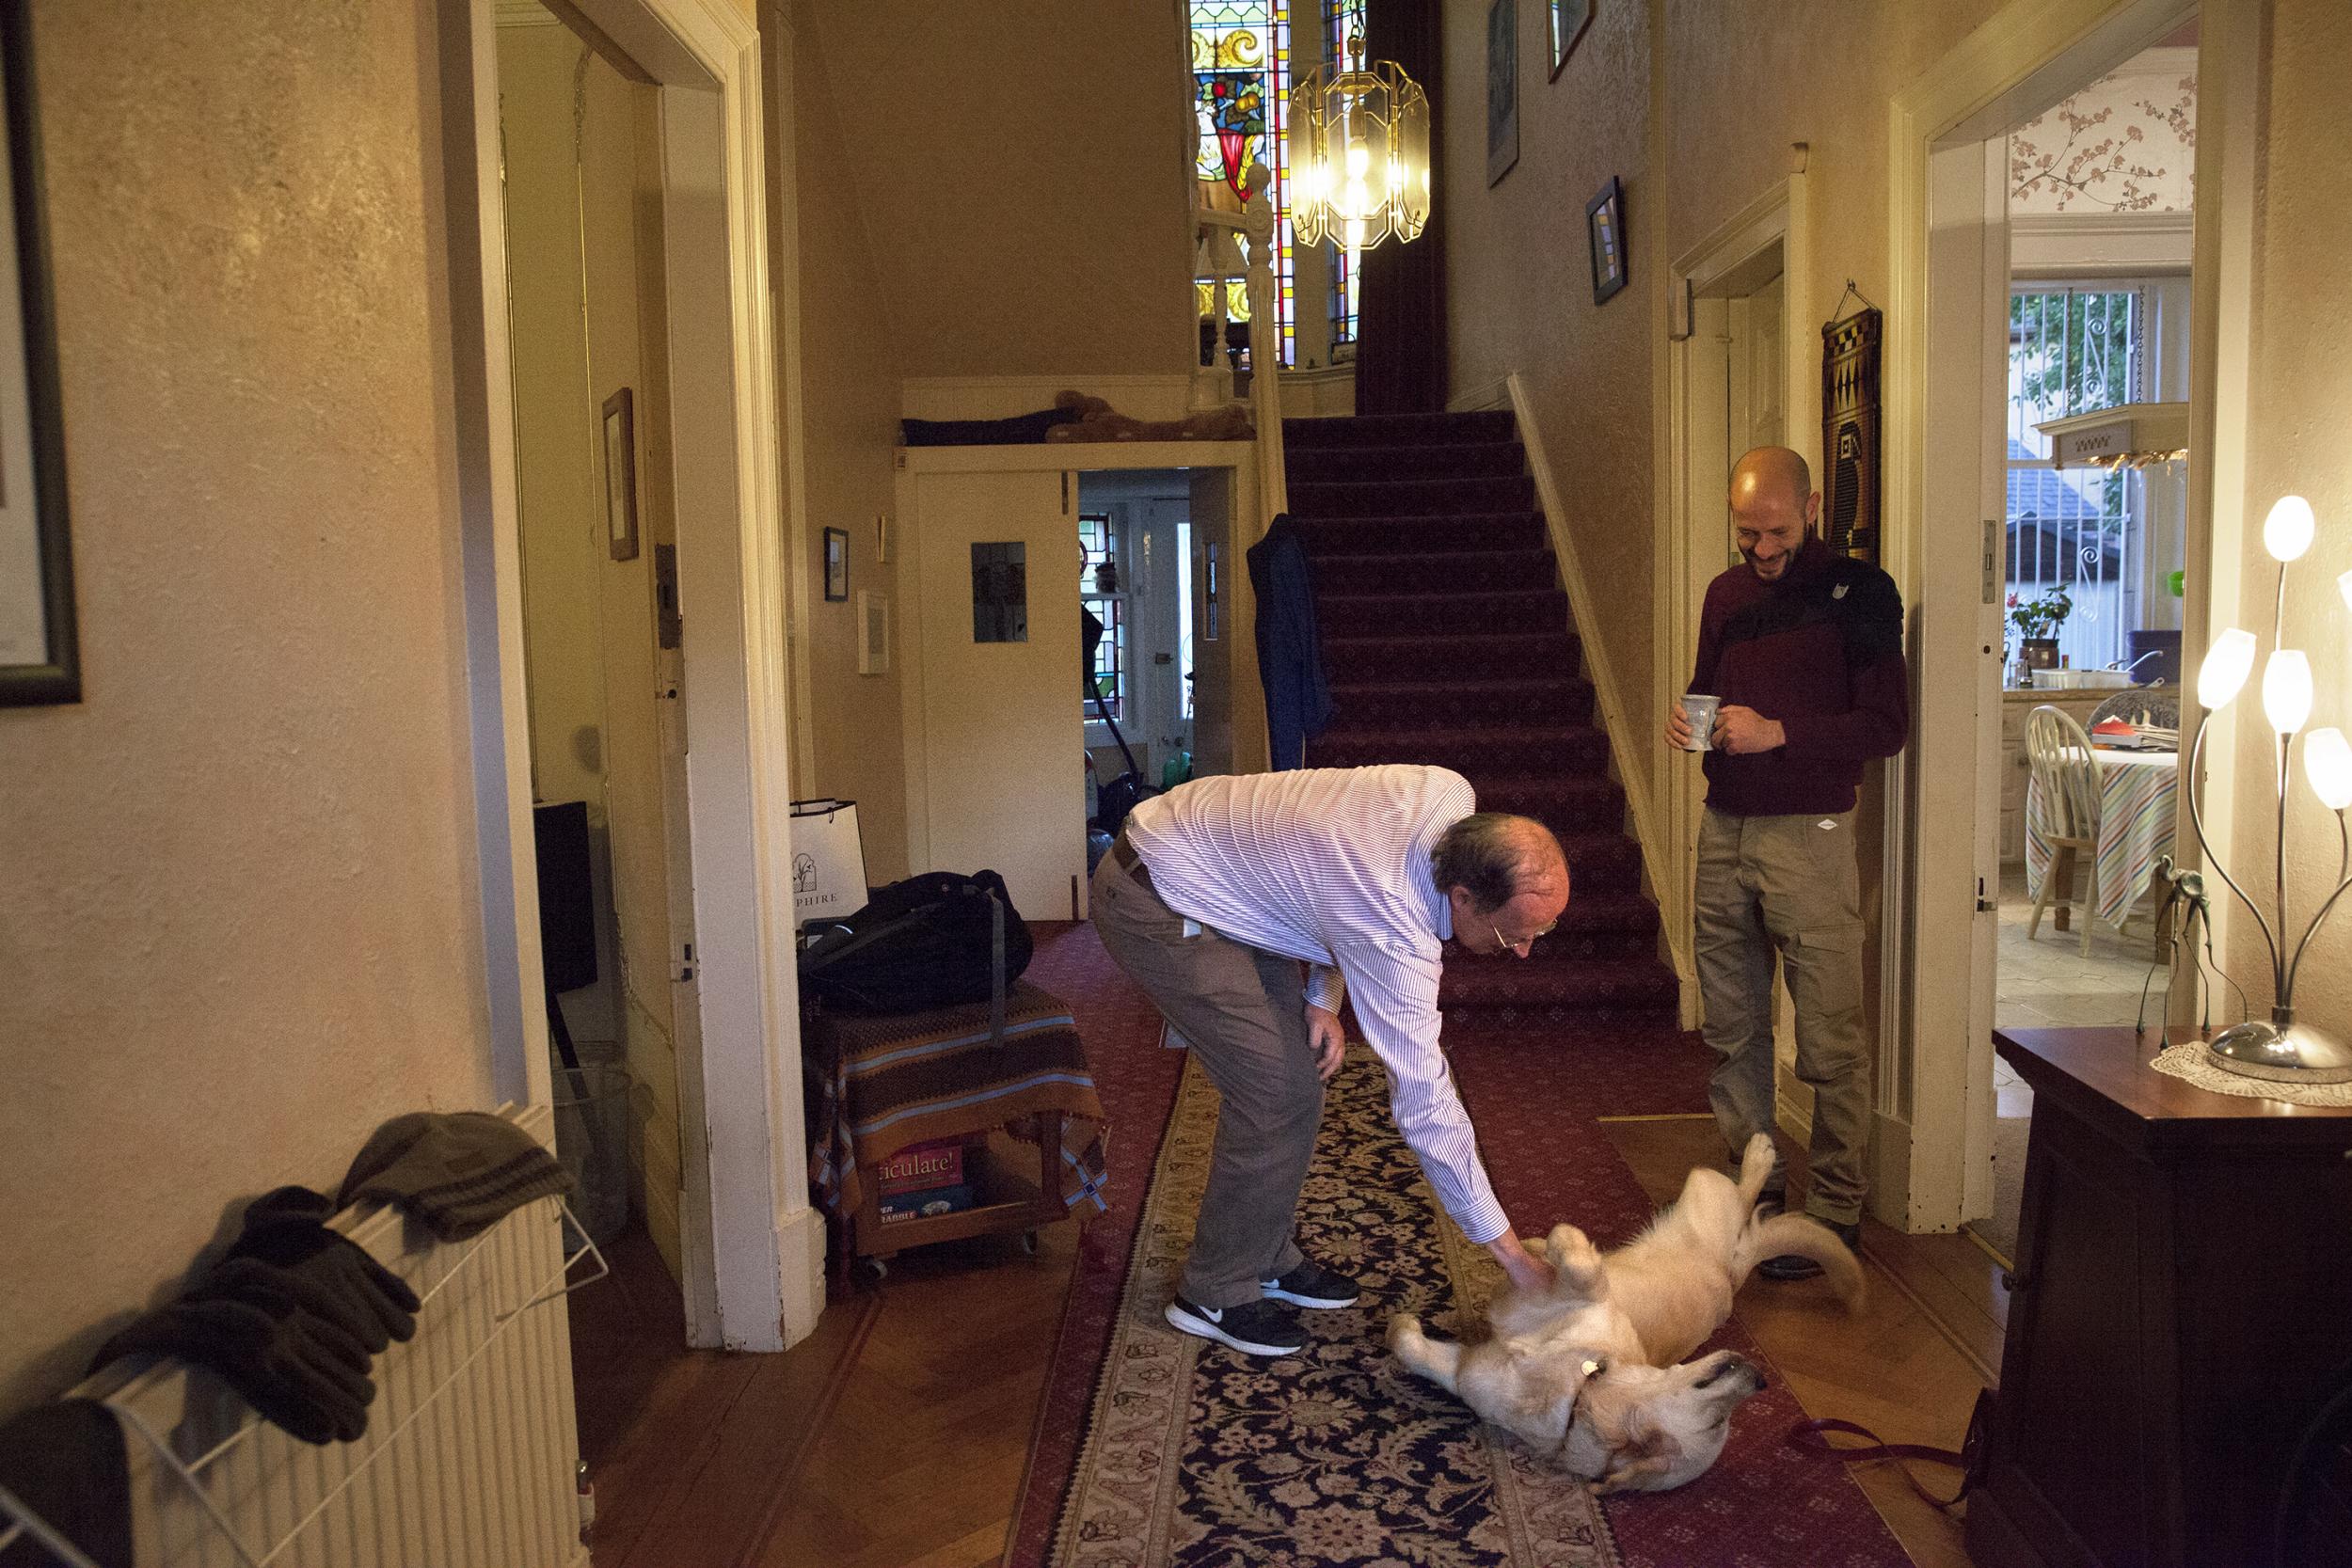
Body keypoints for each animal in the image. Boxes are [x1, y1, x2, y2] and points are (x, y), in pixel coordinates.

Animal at [1383, 1132, 1863, 1495]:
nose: (1759, 1378)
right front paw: (1403, 1324)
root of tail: (1732, 1272)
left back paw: (1760, 1150)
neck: (1582, 1387)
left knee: (1739, 1196)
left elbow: (1575, 1257)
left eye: (1718, 1424)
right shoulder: (1473, 1371)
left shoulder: (1582, 1297)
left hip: (1705, 1196)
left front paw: (1553, 1244)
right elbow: (1408, 1344)